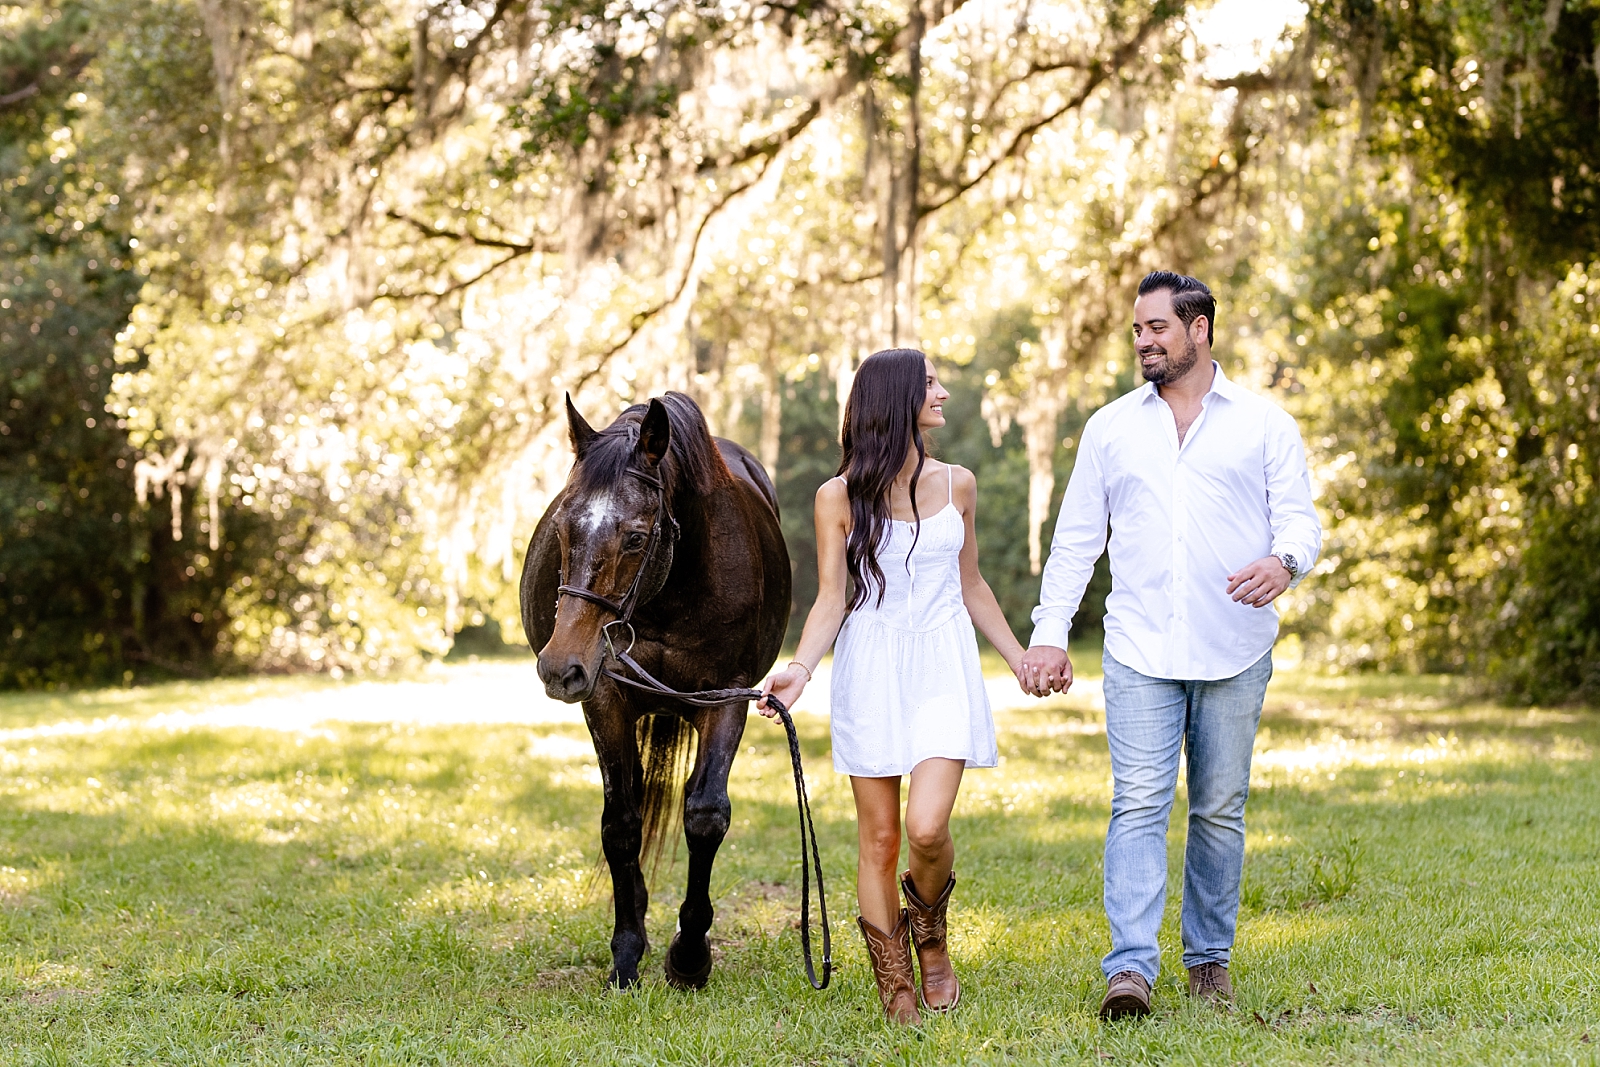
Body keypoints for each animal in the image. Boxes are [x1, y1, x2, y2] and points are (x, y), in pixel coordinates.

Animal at [521, 391, 790, 991]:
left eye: (636, 537)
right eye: (563, 529)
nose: (559, 667)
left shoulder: (727, 697)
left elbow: (706, 814)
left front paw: (689, 956)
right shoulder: (605, 696)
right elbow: (621, 823)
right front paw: (626, 953)